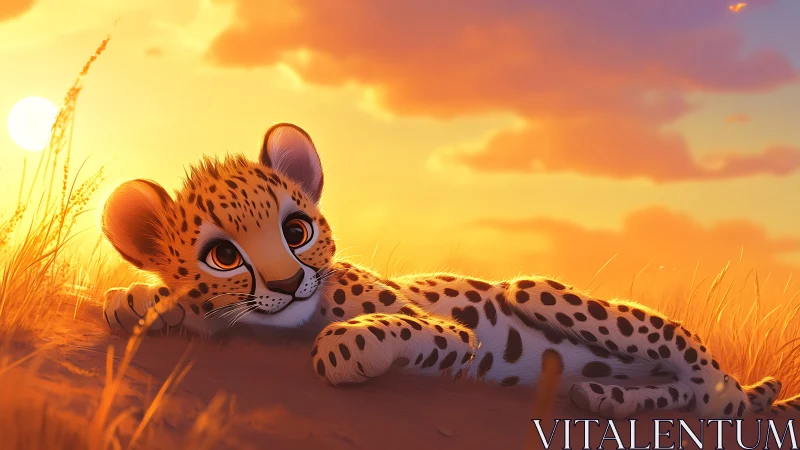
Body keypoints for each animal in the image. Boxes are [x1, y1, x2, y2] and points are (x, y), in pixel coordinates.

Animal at [101, 122, 800, 419]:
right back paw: (608, 396)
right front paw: (139, 300)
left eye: (295, 231)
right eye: (224, 255)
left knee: (714, 388)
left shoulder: (453, 336)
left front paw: (346, 350)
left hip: (535, 290)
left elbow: (392, 330)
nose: (285, 284)